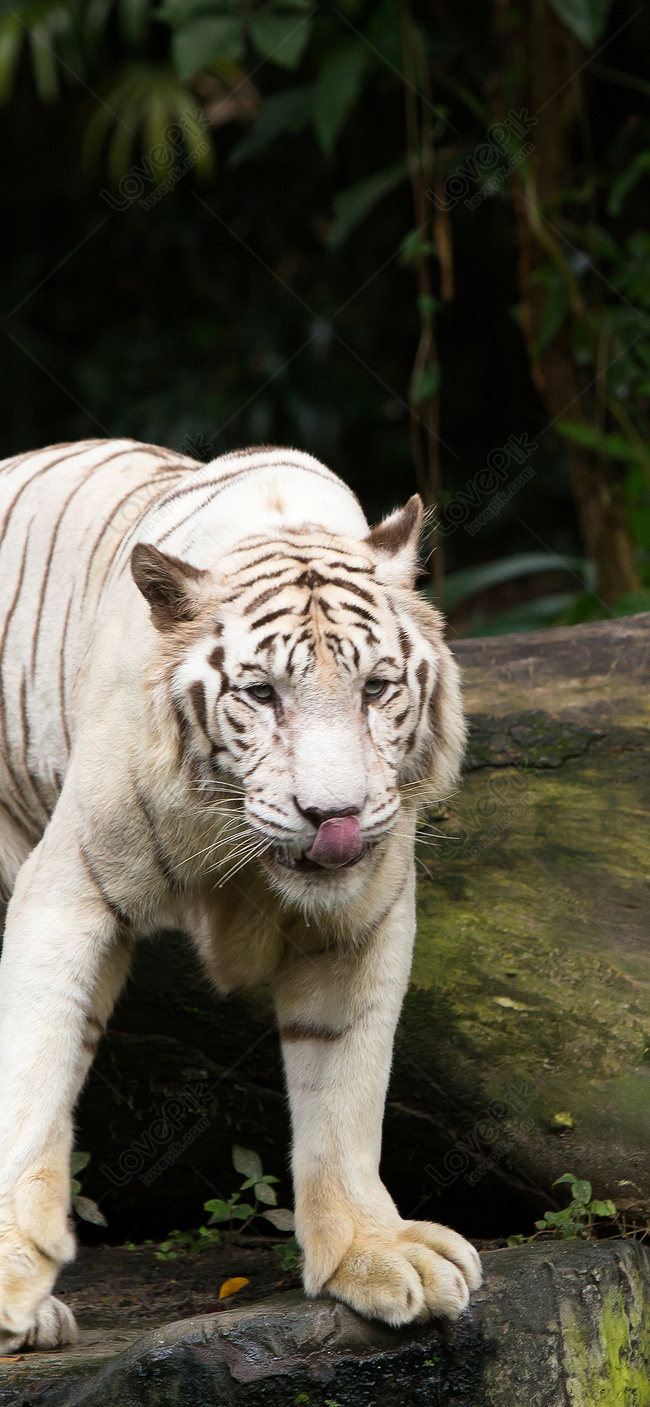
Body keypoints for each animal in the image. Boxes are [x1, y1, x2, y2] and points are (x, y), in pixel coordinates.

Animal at [0, 438, 481, 1352]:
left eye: (376, 688)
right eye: (262, 694)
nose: (333, 817)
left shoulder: (364, 916)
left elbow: (345, 1088)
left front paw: (370, 1252)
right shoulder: (69, 885)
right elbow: (33, 1077)